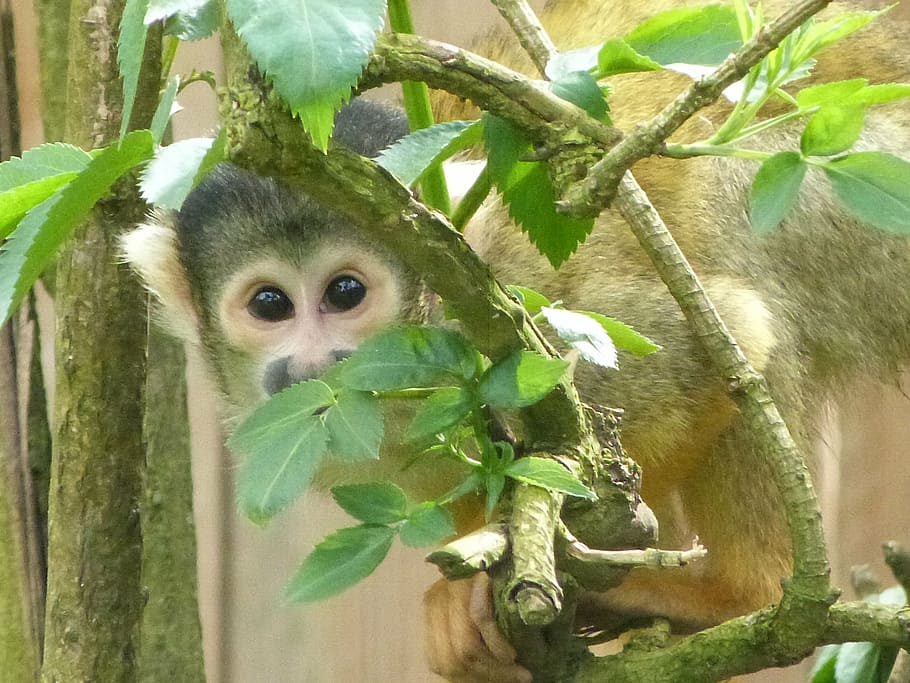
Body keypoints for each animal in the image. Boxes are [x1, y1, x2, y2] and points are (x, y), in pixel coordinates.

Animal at [121, 1, 910, 681]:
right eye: (270, 304)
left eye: (345, 293)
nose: (317, 364)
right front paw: (464, 592)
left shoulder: (548, 322)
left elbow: (729, 336)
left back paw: (741, 590)